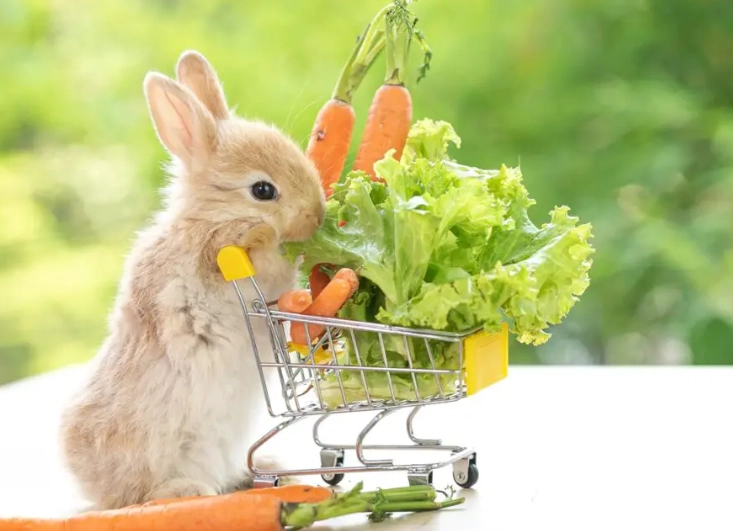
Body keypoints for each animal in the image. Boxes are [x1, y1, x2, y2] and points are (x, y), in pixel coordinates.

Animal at [58, 50, 325, 511]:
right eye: (262, 190)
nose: (319, 214)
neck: (212, 217)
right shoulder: (217, 262)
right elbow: (264, 258)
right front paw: (264, 236)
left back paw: (271, 469)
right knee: (136, 496)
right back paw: (183, 491)